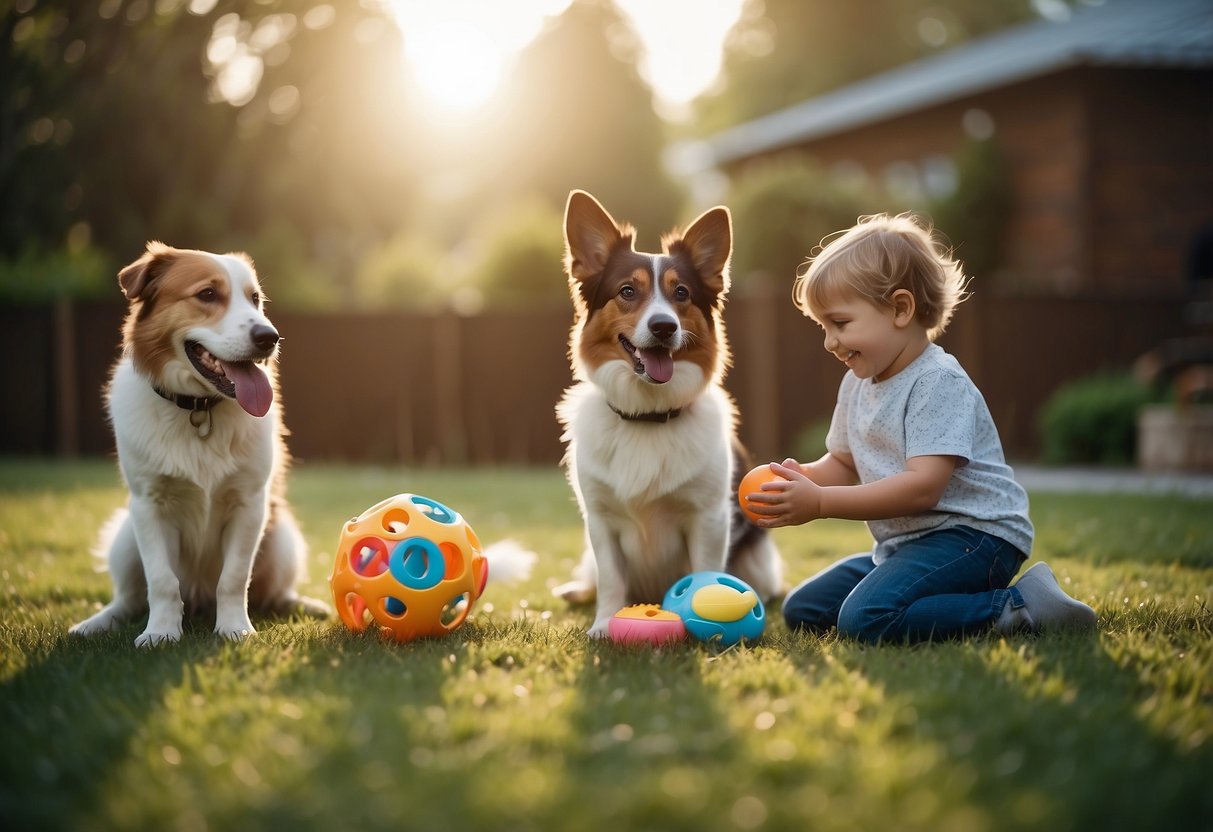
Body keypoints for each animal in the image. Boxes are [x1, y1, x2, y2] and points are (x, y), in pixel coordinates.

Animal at [70, 244, 327, 650]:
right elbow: (161, 581)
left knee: (273, 593)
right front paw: (160, 632)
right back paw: (97, 623)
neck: (198, 409)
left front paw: (235, 629)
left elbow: (234, 578)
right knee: (128, 599)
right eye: (207, 294)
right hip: (125, 537)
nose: (270, 336)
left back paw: (304, 604)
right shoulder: (149, 506)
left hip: (283, 536)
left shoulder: (249, 505)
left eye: (255, 299)